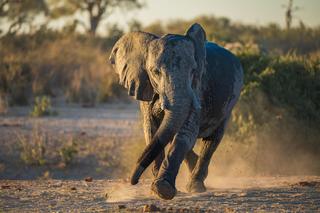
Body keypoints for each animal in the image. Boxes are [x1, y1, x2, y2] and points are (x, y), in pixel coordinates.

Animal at [108, 22, 242, 200]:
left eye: (193, 71)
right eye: (155, 72)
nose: (133, 181)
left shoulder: (198, 88)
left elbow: (185, 133)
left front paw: (163, 189)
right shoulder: (145, 86)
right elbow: (151, 130)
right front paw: (154, 191)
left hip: (232, 99)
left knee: (213, 139)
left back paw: (196, 185)